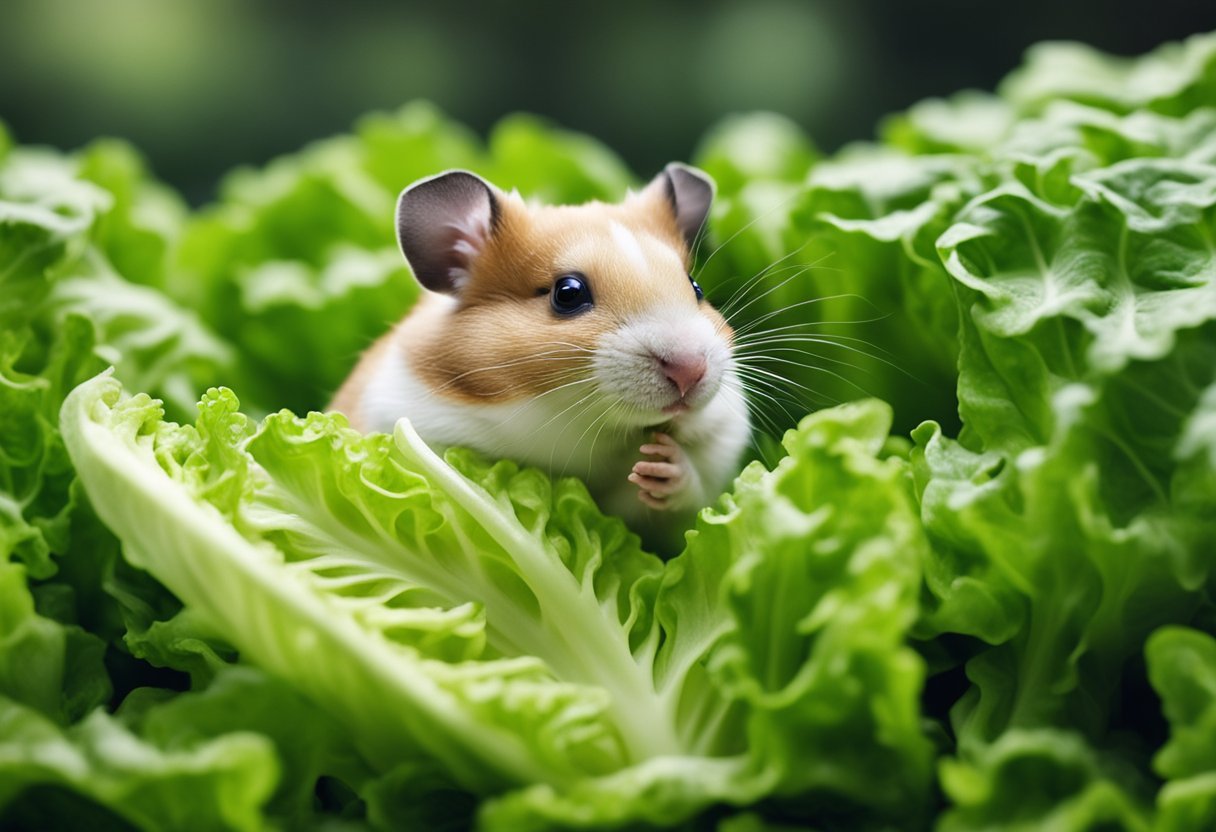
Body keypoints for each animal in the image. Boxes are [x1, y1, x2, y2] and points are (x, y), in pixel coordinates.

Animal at [330, 163, 751, 551]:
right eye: (568, 293)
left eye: (696, 288)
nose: (690, 371)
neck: (587, 427)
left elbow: (688, 495)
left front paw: (659, 463)